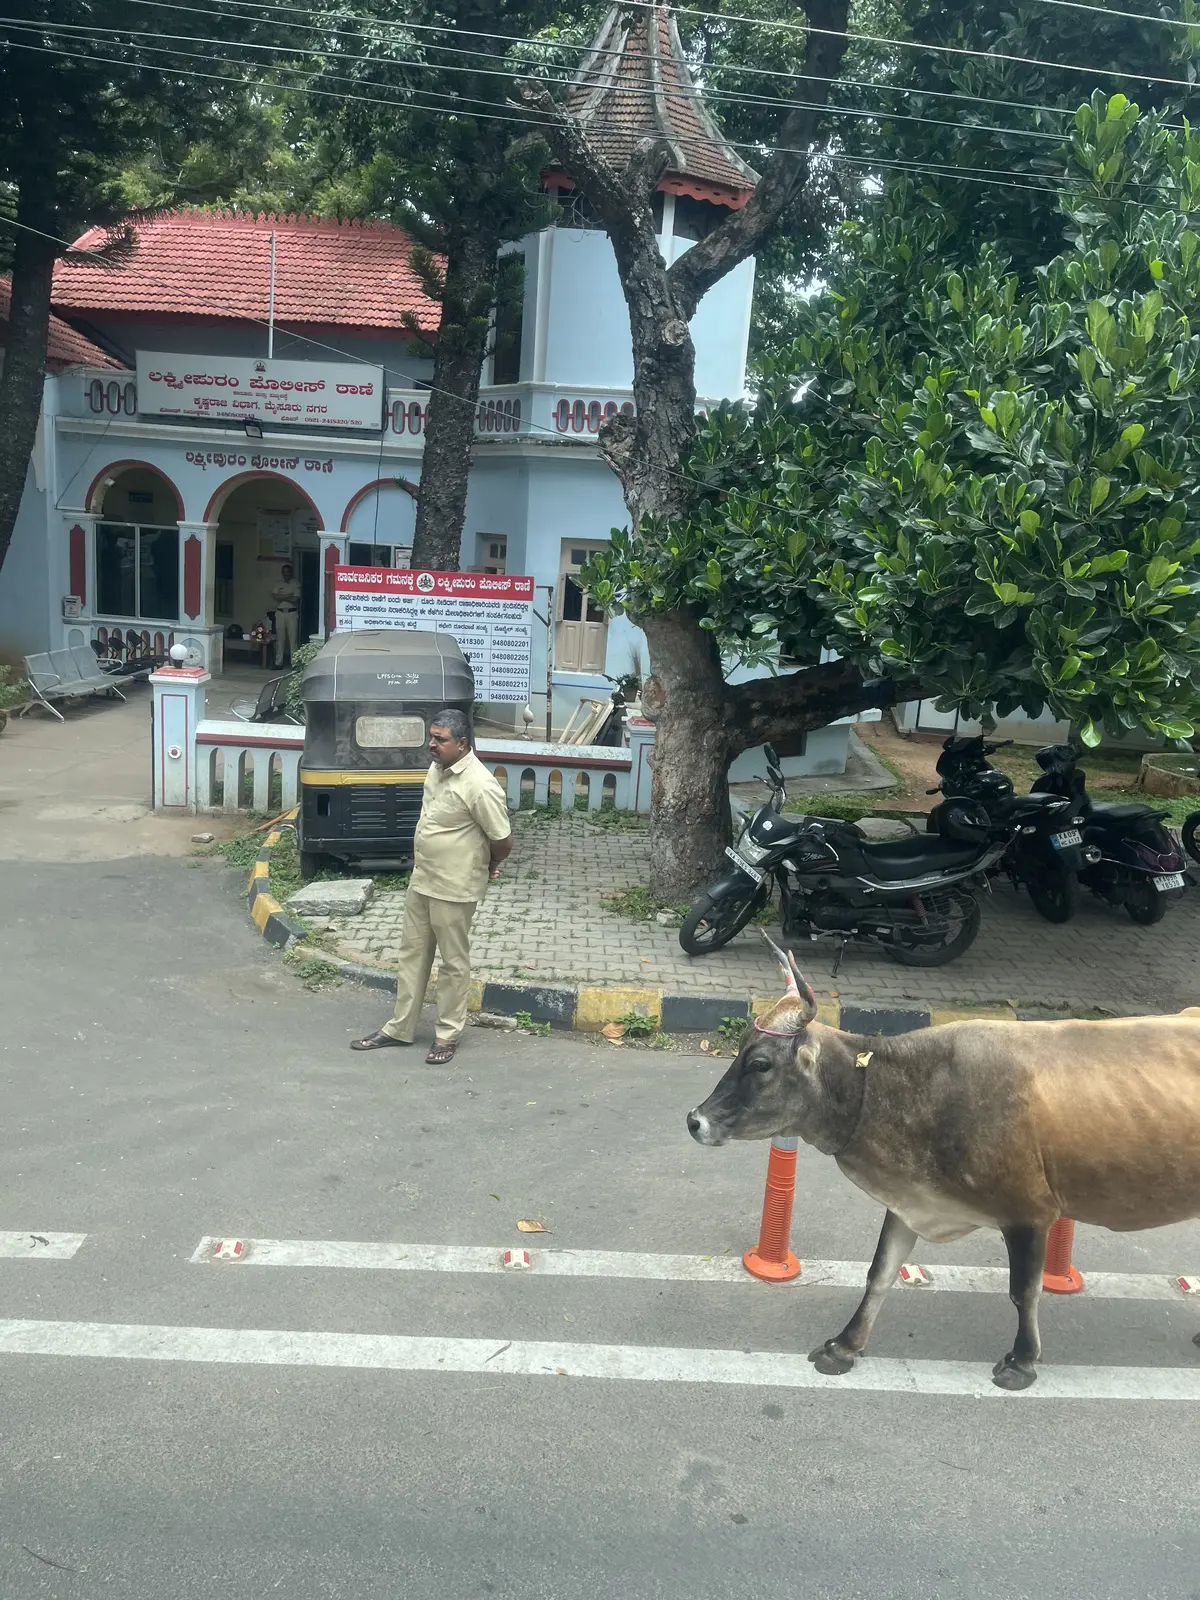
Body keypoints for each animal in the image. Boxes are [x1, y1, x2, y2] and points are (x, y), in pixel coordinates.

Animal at [684, 934, 1200, 1395]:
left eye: (761, 1064)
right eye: (739, 1051)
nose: (694, 1120)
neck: (909, 1087)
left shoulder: (1030, 1214)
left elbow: (1024, 1291)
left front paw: (1022, 1361)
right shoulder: (908, 1200)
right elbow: (880, 1273)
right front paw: (844, 1347)